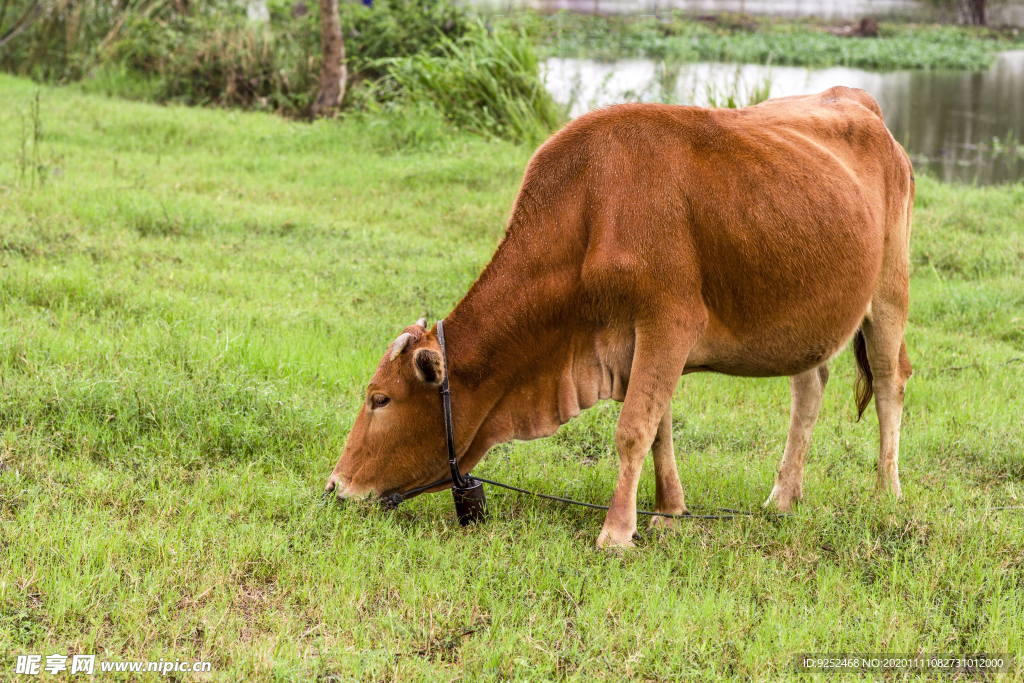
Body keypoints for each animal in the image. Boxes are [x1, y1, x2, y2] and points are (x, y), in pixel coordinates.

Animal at [325, 88, 913, 548]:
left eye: (380, 399)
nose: (334, 486)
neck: (590, 212)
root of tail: (858, 102)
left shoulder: (669, 323)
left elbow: (633, 429)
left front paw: (615, 532)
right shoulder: (639, 343)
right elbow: (658, 429)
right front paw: (669, 512)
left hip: (889, 293)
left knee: (889, 384)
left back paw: (886, 496)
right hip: (809, 320)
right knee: (809, 389)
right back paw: (782, 499)